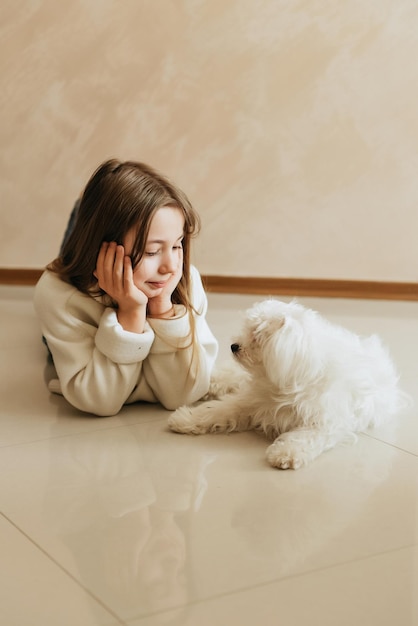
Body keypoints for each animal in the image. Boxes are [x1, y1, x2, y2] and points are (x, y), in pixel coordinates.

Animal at [168, 298, 406, 468]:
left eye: (257, 336)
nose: (234, 346)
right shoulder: (252, 399)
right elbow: (218, 410)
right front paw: (186, 418)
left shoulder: (325, 422)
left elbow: (306, 437)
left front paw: (285, 453)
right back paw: (211, 383)